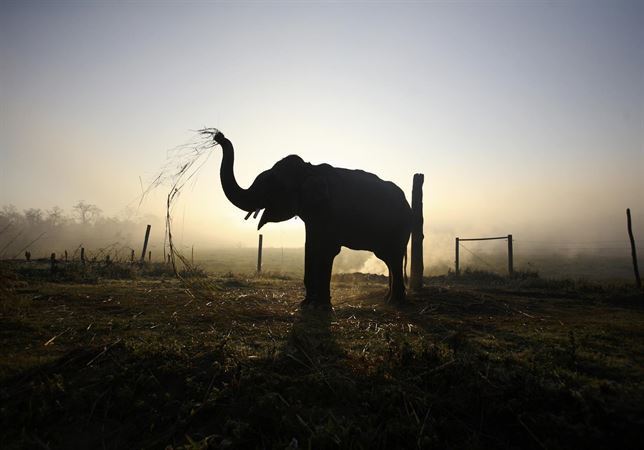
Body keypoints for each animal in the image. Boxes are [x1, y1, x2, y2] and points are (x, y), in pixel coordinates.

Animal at [214, 131, 412, 309]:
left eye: (273, 187)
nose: (219, 136)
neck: (310, 169)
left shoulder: (330, 212)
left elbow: (327, 249)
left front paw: (322, 305)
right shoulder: (313, 215)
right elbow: (310, 247)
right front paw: (306, 304)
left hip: (399, 227)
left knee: (393, 258)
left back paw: (396, 302)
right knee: (388, 258)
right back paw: (388, 299)